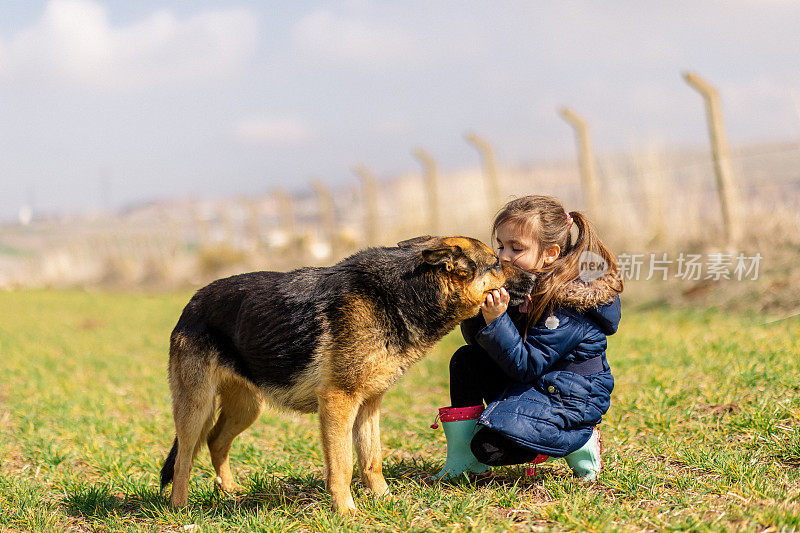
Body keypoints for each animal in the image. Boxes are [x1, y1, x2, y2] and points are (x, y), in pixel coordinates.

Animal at [159, 236, 536, 512]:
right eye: (497, 263)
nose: (534, 277)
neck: (401, 295)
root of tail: (191, 303)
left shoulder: (368, 404)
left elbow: (372, 459)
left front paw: (385, 500)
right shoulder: (338, 403)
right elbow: (342, 465)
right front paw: (346, 511)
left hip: (247, 407)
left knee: (216, 441)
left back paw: (230, 491)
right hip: (196, 407)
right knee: (184, 459)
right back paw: (179, 509)